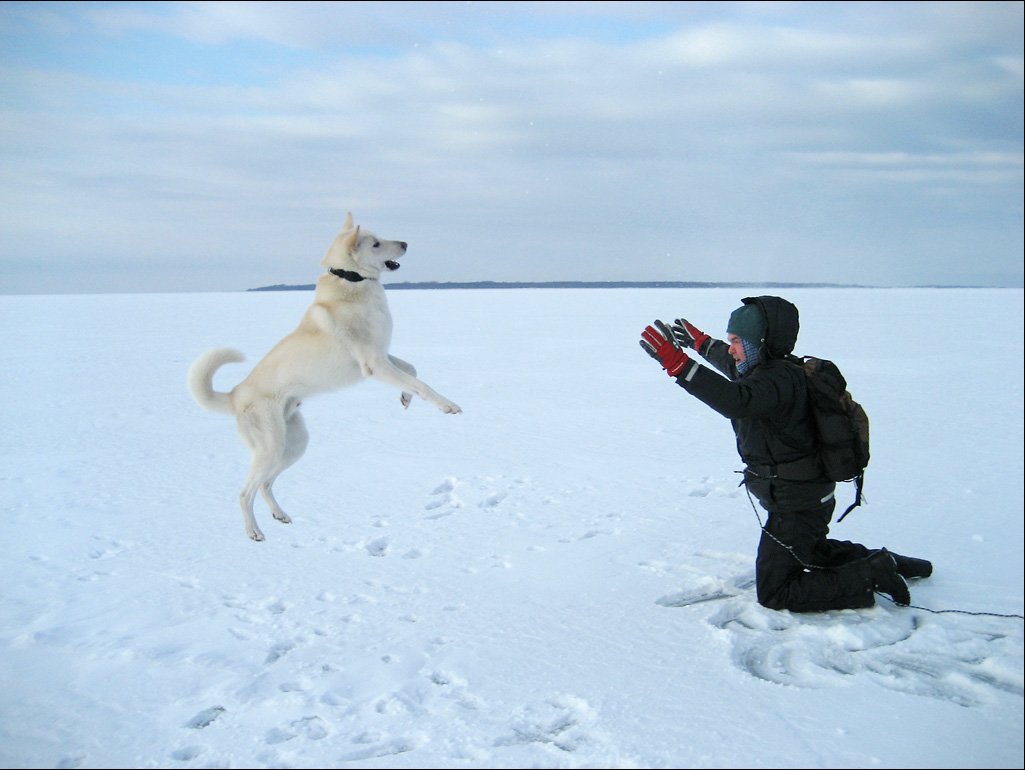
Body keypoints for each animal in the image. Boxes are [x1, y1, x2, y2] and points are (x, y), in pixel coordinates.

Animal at [187, 213, 462, 541]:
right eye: (376, 243)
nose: (406, 243)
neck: (352, 281)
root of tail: (235, 394)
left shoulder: (381, 357)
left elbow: (412, 370)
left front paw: (406, 398)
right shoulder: (374, 364)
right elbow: (422, 383)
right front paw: (447, 405)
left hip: (294, 445)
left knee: (266, 484)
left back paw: (279, 515)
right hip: (270, 447)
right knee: (245, 493)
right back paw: (253, 532)